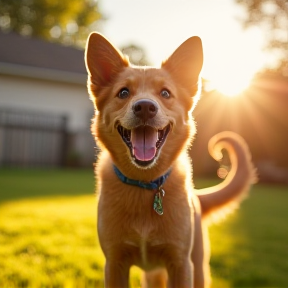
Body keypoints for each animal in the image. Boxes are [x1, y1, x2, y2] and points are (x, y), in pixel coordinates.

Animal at [84, 33, 255, 288]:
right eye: (123, 93)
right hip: (153, 276)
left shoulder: (180, 263)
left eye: (165, 93)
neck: (144, 185)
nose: (145, 107)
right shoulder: (114, 263)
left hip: (198, 267)